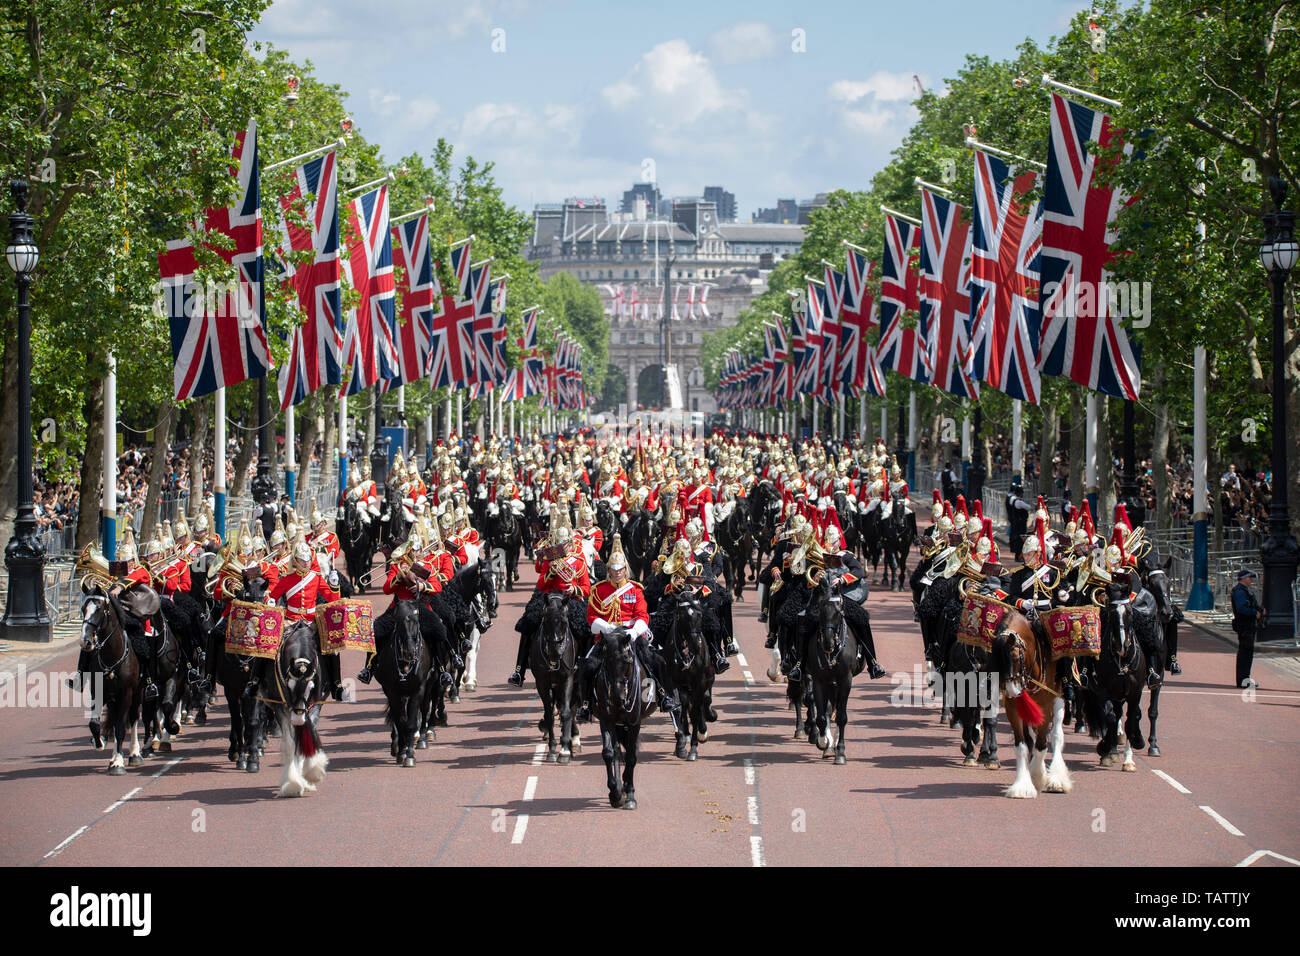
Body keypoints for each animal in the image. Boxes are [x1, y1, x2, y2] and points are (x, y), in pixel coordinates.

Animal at [590, 632, 655, 811]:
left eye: (627, 660)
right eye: (606, 660)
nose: (616, 698)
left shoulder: (634, 723)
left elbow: (631, 757)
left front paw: (630, 794)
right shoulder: (606, 720)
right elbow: (609, 753)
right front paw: (615, 792)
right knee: (618, 751)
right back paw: (620, 789)